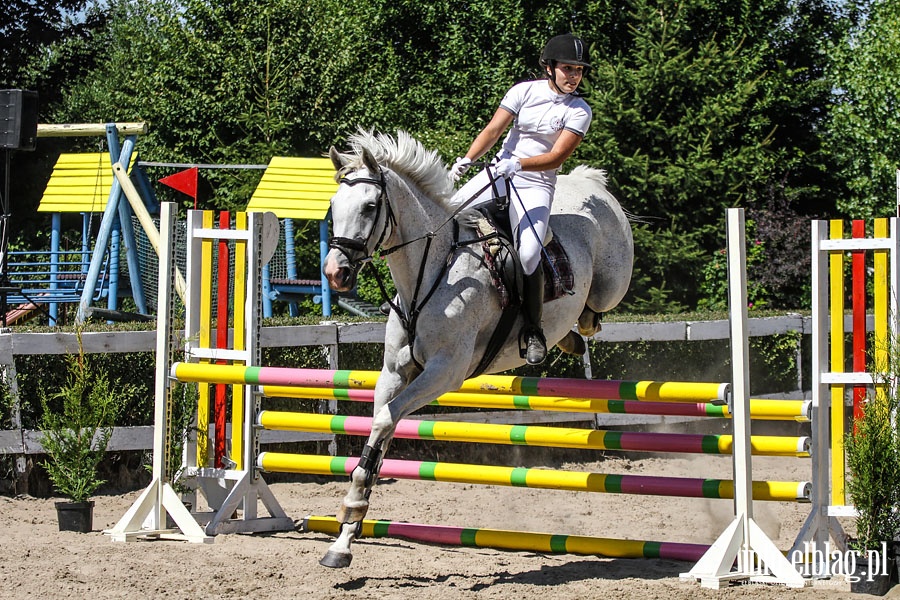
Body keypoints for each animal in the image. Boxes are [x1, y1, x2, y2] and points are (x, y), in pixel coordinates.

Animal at [322, 130, 632, 568]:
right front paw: (344, 538)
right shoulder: (394, 373)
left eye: (369, 206)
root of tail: (591, 183)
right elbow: (378, 435)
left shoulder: (445, 372)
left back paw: (569, 332)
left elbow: (384, 421)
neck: (433, 272)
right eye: (333, 207)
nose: (336, 273)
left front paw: (352, 514)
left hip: (611, 284)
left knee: (595, 310)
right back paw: (567, 338)